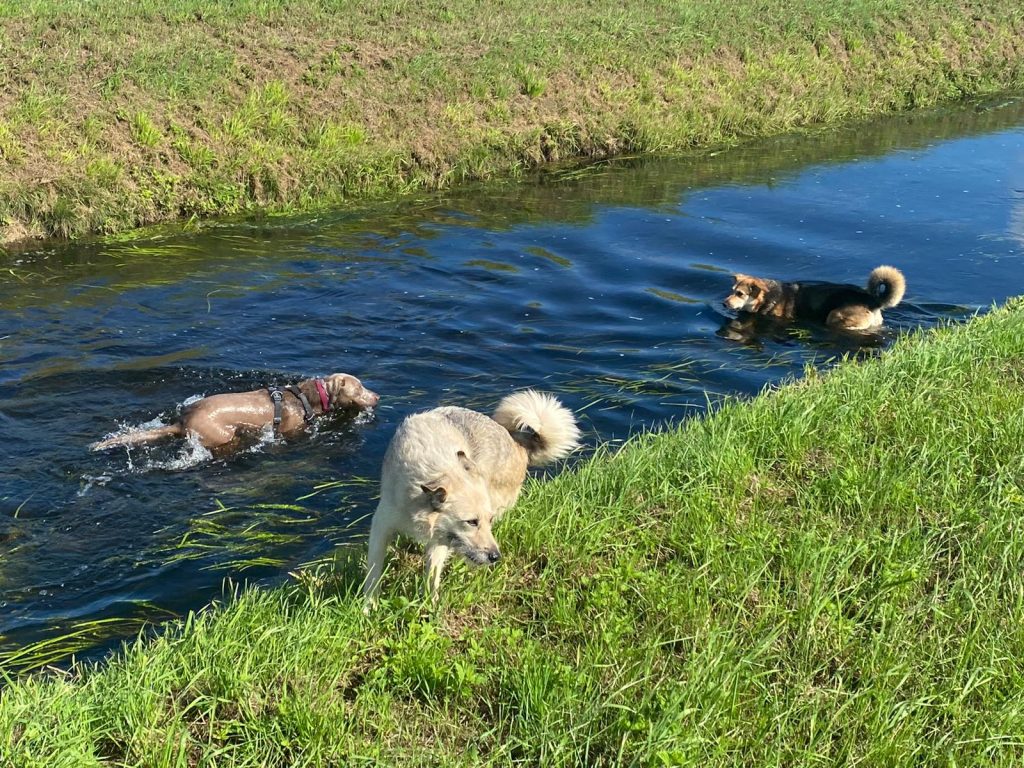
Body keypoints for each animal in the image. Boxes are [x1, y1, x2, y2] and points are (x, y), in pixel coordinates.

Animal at [363, 390, 580, 605]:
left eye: (487, 520)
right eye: (471, 522)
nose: (495, 557)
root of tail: (516, 441)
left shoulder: (441, 538)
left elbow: (432, 574)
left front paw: (430, 605)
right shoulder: (381, 525)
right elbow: (373, 572)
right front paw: (369, 605)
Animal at [723, 265, 906, 331]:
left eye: (740, 294)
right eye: (731, 291)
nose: (724, 304)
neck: (766, 297)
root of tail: (873, 300)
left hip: (834, 315)